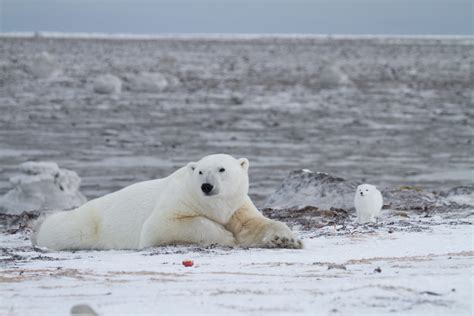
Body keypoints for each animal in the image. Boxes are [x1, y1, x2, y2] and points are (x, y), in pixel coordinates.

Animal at [33, 154, 302, 251]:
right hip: (85, 224)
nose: (207, 186)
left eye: (222, 169)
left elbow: (254, 225)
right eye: (200, 172)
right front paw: (226, 236)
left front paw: (287, 239)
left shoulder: (236, 207)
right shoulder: (178, 200)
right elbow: (163, 225)